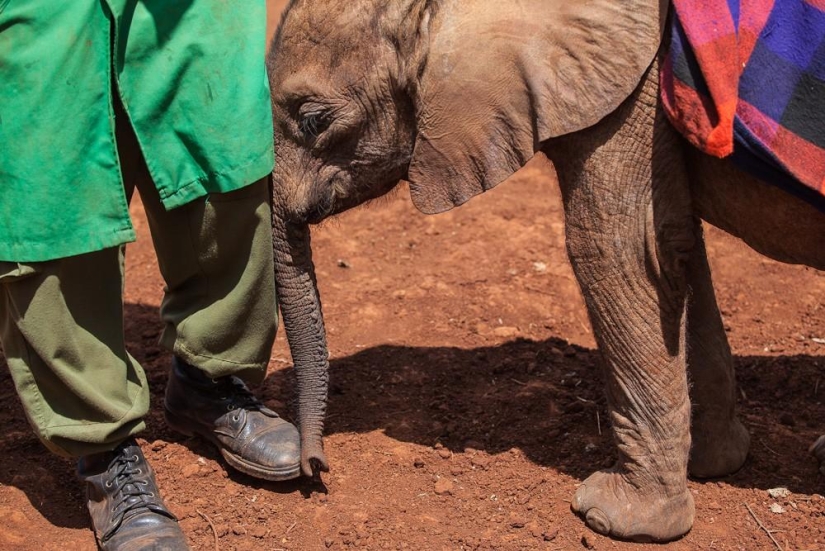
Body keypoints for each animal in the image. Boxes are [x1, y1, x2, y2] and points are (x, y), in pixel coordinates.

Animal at [266, 0, 825, 542]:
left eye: (312, 119)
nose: (315, 469)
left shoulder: (625, 93)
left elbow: (618, 252)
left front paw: (612, 518)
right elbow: (678, 246)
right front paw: (712, 464)